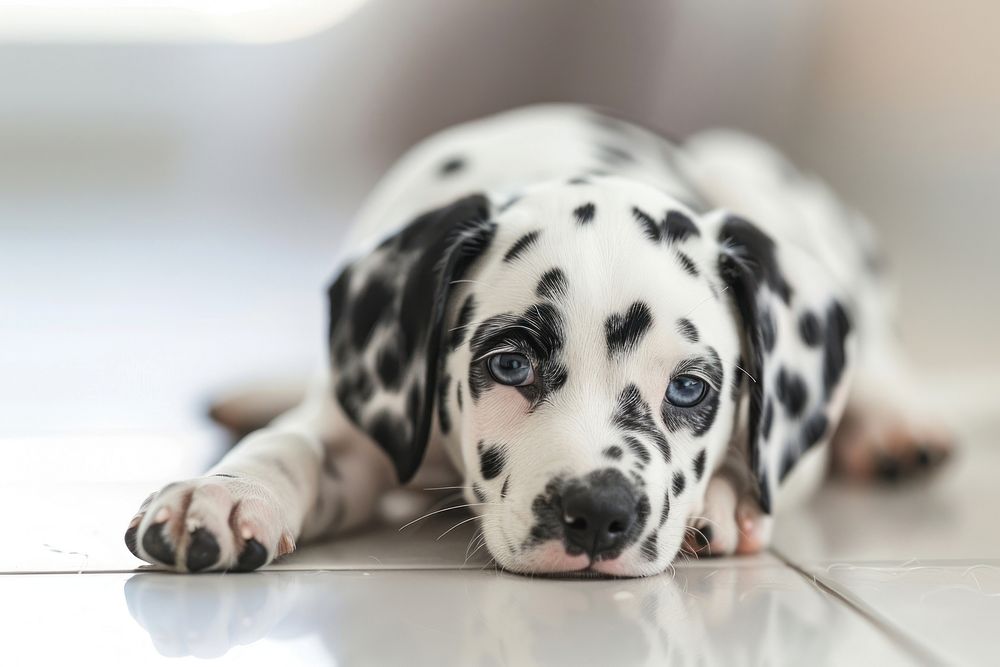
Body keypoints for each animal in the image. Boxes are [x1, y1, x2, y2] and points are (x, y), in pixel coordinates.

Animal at [125, 103, 952, 576]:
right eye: (510, 363)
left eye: (689, 388)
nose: (599, 514)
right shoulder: (359, 422)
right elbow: (291, 444)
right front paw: (223, 493)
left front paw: (720, 498)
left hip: (747, 171)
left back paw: (898, 427)